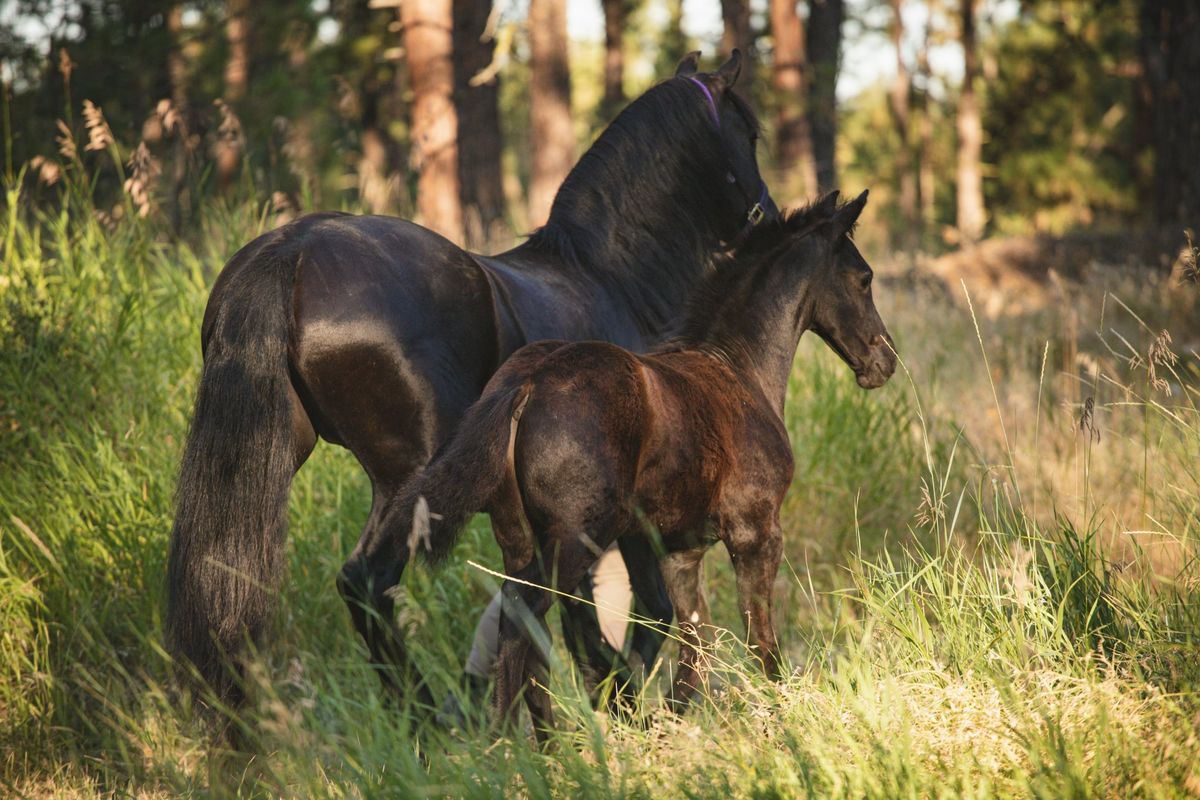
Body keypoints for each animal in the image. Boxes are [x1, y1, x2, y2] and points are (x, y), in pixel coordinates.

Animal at [166, 50, 777, 710]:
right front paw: (614, 692)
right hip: (409, 474)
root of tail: (291, 250)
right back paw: (428, 715)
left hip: (281, 452)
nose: (769, 216)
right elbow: (641, 608)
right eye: (749, 135)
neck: (610, 277)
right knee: (367, 581)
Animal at [400, 190, 892, 743]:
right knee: (524, 617)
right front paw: (784, 718)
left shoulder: (681, 548)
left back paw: (543, 744)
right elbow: (758, 635)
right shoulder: (757, 532)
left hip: (518, 538)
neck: (738, 372)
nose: (884, 363)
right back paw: (516, 744)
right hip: (575, 539)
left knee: (524, 623)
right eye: (864, 278)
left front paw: (667, 725)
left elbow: (696, 640)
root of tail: (526, 383)